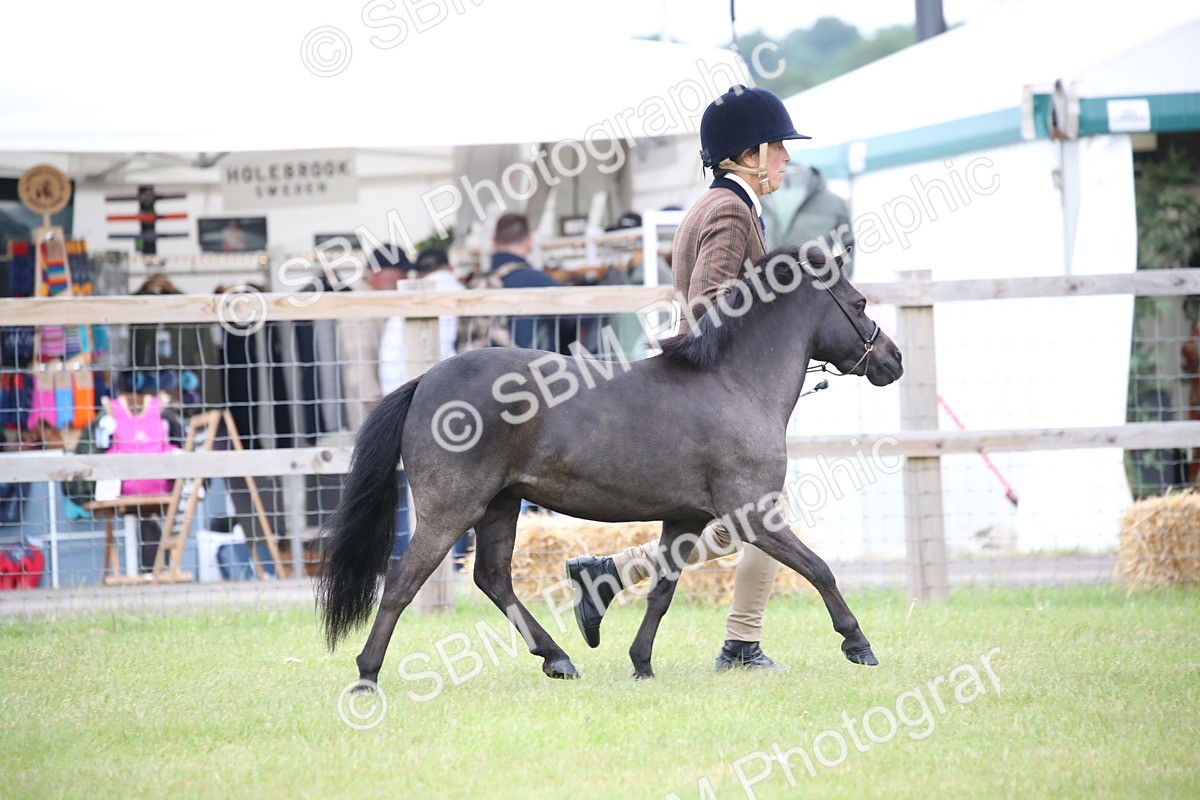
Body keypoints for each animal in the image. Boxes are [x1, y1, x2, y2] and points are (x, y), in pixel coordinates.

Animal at [317, 244, 903, 684]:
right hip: (451, 510)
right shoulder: (753, 514)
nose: (893, 360)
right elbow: (819, 568)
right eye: (858, 301)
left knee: (493, 579)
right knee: (402, 582)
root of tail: (425, 383)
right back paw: (367, 674)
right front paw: (858, 643)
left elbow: (662, 591)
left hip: (501, 505)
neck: (734, 383)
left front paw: (640, 662)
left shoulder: (685, 518)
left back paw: (558, 657)